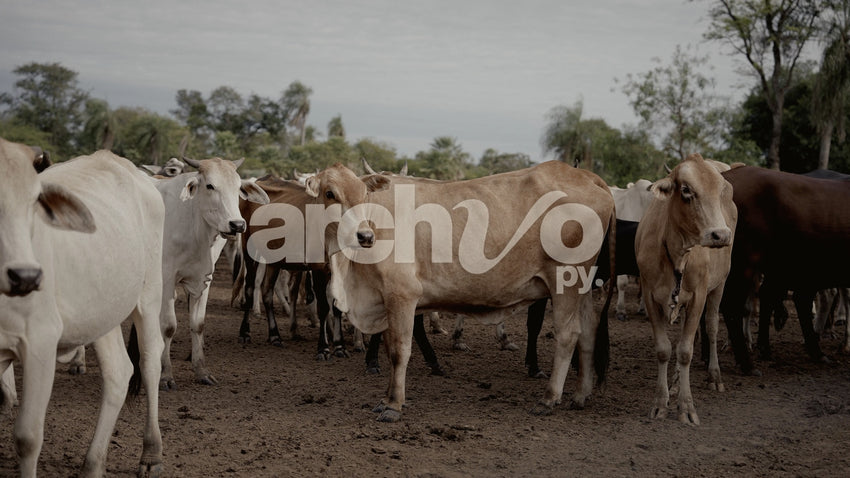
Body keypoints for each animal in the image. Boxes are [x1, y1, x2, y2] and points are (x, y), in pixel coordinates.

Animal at [0, 139, 165, 476]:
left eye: (34, 201)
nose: (26, 276)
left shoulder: (40, 342)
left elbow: (27, 438)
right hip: (103, 312)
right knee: (119, 373)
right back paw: (93, 464)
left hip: (149, 294)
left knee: (150, 360)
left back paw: (151, 453)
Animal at [156, 156, 269, 389]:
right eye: (210, 186)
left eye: (238, 187)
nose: (237, 224)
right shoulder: (167, 279)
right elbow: (169, 326)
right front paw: (166, 375)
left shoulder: (204, 279)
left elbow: (198, 324)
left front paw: (202, 372)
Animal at [303, 161, 615, 422]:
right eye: (330, 193)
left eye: (363, 194)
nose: (365, 236)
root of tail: (587, 176)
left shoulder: (402, 296)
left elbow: (400, 351)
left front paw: (394, 404)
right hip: (584, 284)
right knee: (588, 332)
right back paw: (580, 395)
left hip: (565, 281)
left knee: (569, 334)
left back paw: (549, 398)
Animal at [635, 153, 736, 425]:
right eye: (686, 190)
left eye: (720, 189)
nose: (720, 235)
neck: (677, 253)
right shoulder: (650, 295)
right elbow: (664, 349)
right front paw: (661, 402)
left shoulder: (699, 296)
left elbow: (685, 351)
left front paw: (686, 407)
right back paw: (675, 384)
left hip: (720, 285)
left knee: (711, 328)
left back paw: (714, 376)